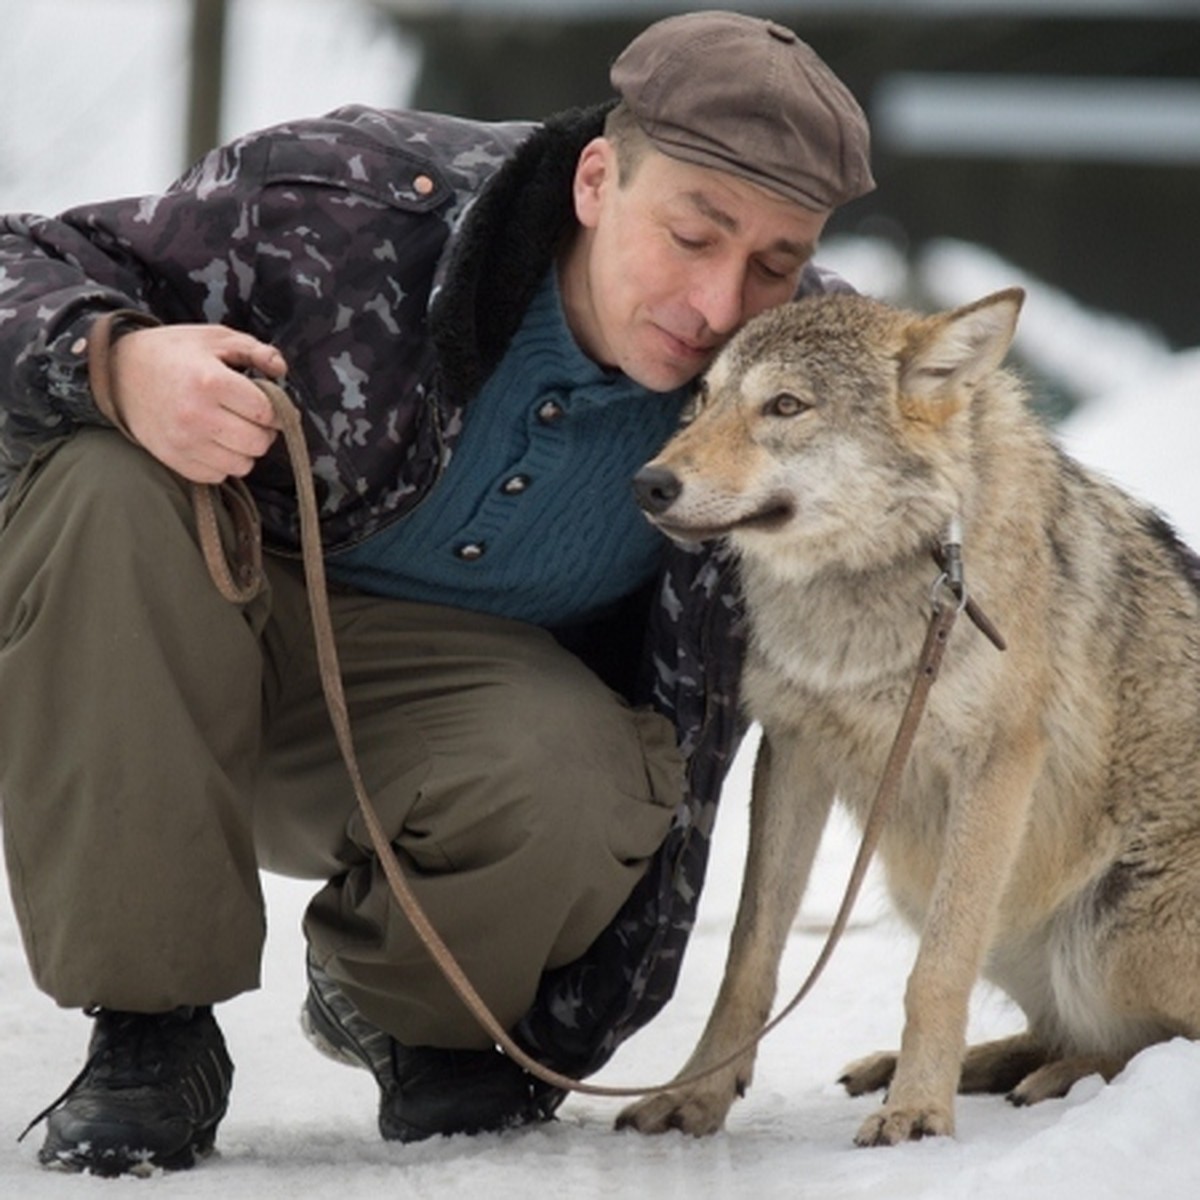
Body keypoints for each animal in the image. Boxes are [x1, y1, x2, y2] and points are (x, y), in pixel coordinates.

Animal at [619, 288, 1200, 1142]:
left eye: (786, 405)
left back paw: (1050, 1078)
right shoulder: (793, 750)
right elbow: (748, 957)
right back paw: (960, 1066)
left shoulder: (997, 765)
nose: (649, 483)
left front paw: (920, 1112)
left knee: (1151, 1045)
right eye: (703, 398)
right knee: (1057, 1028)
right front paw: (696, 1096)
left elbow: (937, 971)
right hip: (942, 894)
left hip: (1107, 936)